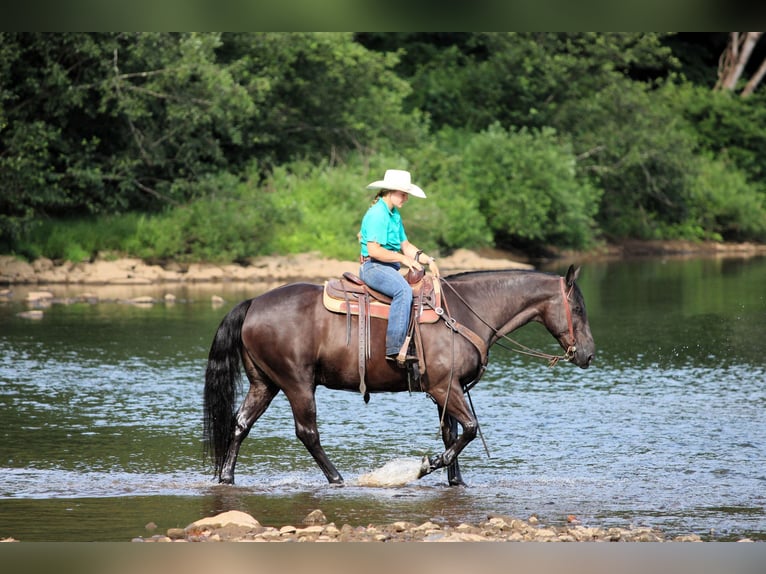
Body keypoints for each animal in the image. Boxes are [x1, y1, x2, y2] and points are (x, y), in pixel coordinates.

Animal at [203, 264, 595, 486]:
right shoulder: (444, 388)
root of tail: (253, 303)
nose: (588, 353)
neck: (465, 312)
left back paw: (226, 476)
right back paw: (337, 478)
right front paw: (427, 466)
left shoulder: (445, 390)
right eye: (577, 307)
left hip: (265, 383)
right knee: (307, 433)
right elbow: (469, 430)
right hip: (297, 383)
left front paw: (457, 481)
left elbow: (451, 433)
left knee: (240, 424)